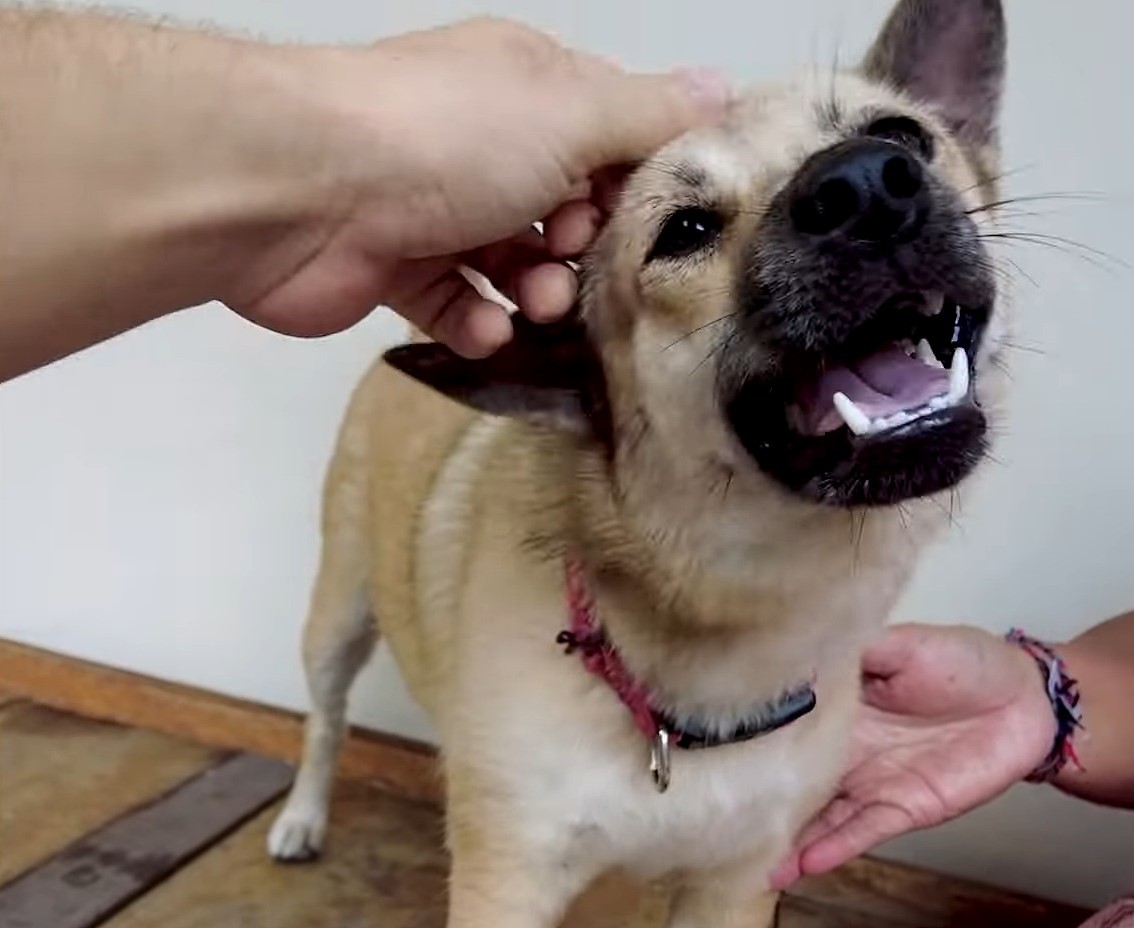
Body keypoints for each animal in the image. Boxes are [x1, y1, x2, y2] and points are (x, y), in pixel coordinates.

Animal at [267, 3, 1011, 921]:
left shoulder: (738, 884)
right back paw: (302, 816)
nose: (870, 185)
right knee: (324, 721)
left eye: (902, 134)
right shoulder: (507, 878)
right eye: (684, 231)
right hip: (336, 620)